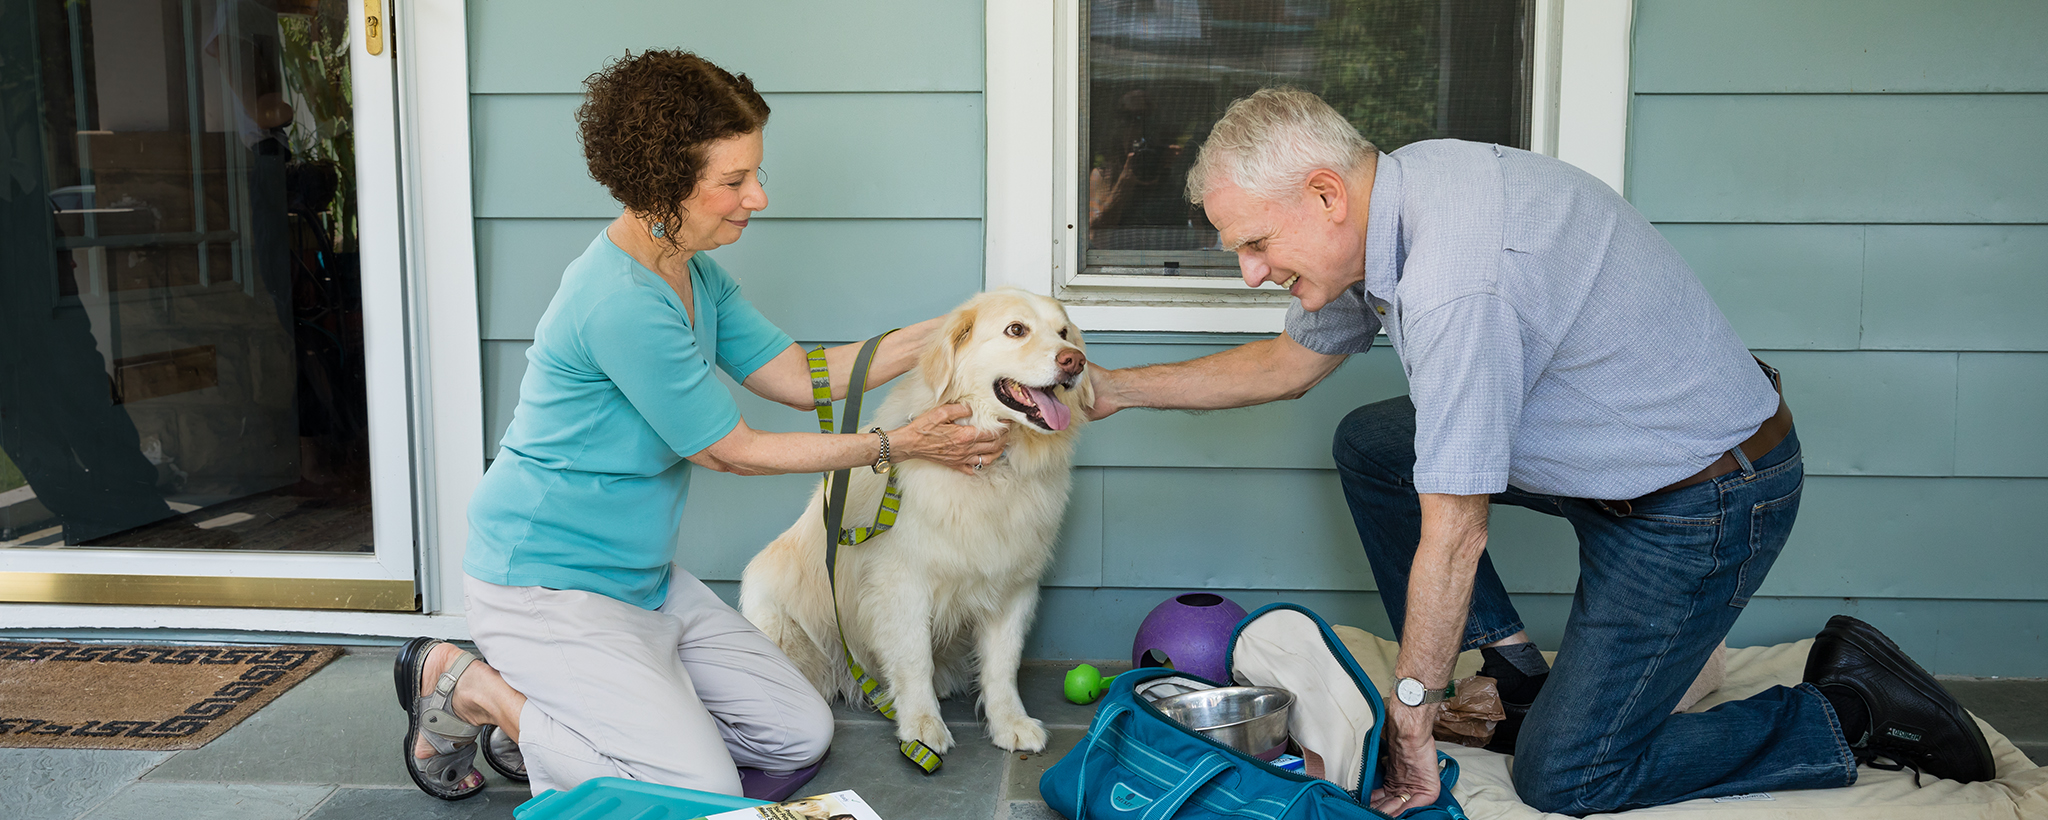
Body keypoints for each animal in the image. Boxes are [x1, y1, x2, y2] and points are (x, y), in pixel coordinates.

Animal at [737, 289, 1089, 754]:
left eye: (1064, 332)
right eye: (1017, 329)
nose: (1075, 361)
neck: (996, 469)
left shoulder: (1013, 585)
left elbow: (1003, 665)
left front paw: (1010, 723)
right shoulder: (902, 585)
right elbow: (913, 658)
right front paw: (922, 726)